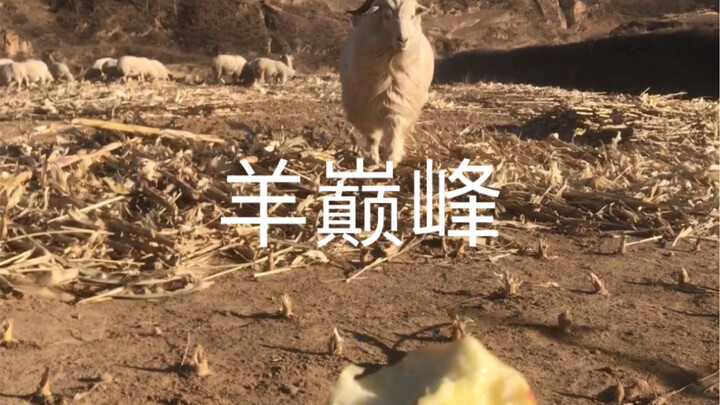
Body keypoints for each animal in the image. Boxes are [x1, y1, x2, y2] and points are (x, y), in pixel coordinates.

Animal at [339, 0, 434, 166]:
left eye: (411, 16)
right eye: (386, 16)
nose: (402, 40)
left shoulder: (398, 101)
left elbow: (395, 126)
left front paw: (392, 158)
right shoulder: (364, 109)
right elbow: (372, 136)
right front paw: (373, 158)